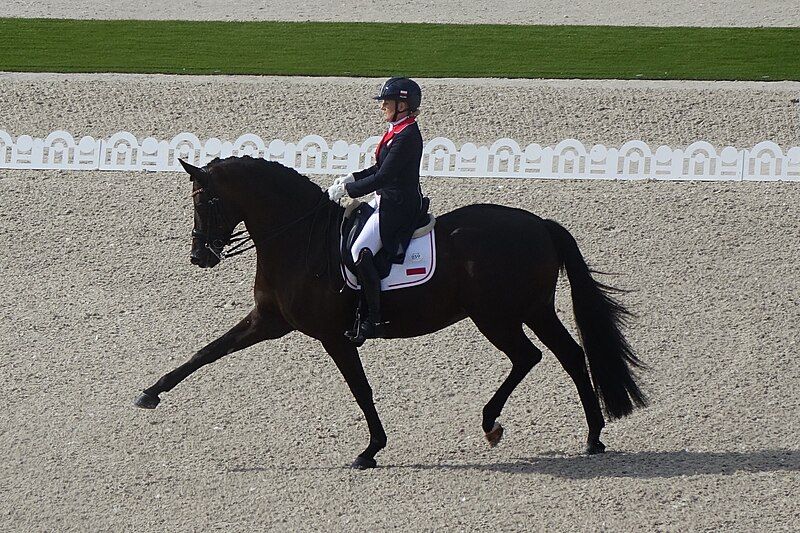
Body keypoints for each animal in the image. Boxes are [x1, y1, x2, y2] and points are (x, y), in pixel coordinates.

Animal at [134, 156, 648, 468]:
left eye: (208, 201)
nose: (199, 256)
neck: (299, 239)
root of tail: (539, 224)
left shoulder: (334, 336)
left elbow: (361, 391)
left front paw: (370, 450)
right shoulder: (268, 322)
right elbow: (205, 353)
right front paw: (150, 393)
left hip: (496, 316)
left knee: (530, 357)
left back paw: (493, 423)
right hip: (534, 309)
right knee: (571, 356)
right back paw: (592, 436)